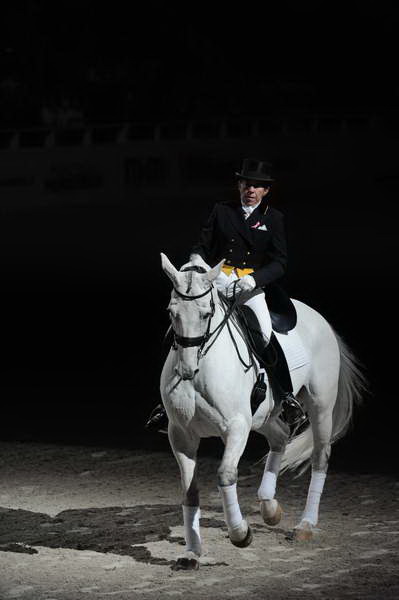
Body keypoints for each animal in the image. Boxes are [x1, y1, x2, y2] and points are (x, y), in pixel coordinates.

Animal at [161, 251, 368, 568]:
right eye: (172, 312)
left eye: (206, 314)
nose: (186, 371)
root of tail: (319, 318)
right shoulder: (181, 434)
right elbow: (189, 490)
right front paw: (192, 552)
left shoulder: (235, 427)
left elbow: (225, 474)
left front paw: (240, 534)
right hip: (265, 416)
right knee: (280, 437)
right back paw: (270, 508)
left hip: (320, 407)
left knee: (320, 456)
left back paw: (305, 525)